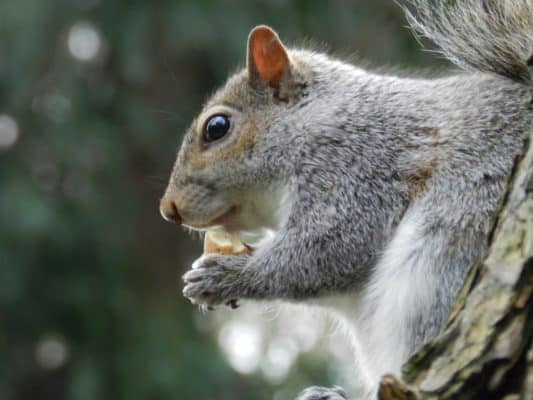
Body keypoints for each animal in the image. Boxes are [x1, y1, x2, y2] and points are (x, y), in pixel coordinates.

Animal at [159, 1, 532, 398]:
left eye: (217, 128)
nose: (169, 209)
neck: (313, 121)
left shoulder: (359, 168)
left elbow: (332, 250)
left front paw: (223, 276)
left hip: (440, 261)